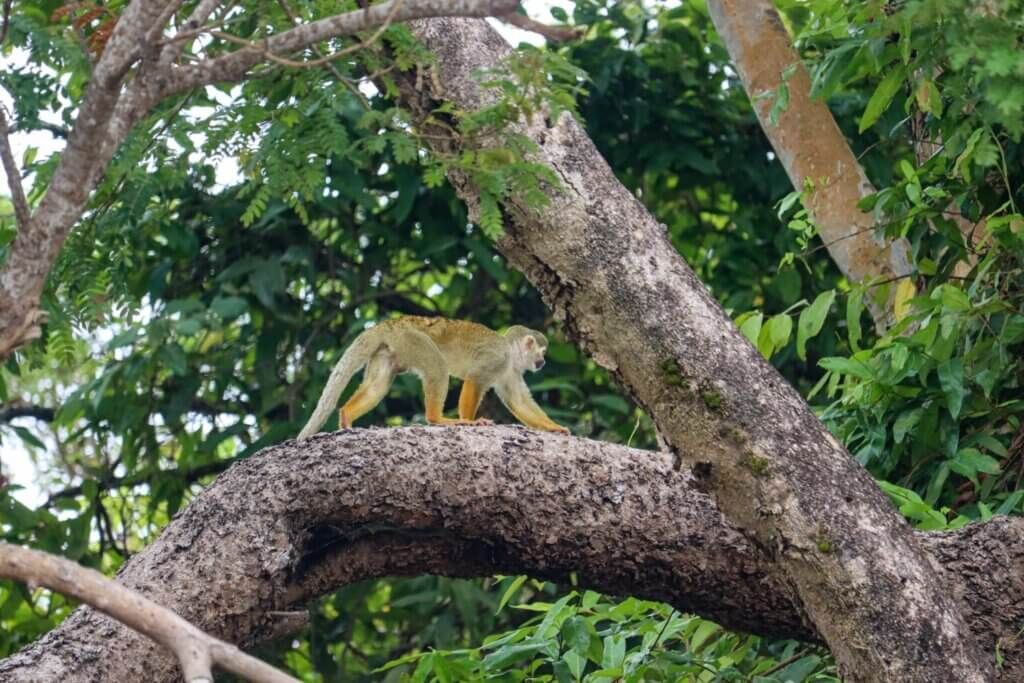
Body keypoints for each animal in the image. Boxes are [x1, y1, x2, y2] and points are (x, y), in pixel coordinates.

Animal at [297, 316, 569, 439]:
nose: (543, 362)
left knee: (378, 385)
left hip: (392, 349)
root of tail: (389, 323)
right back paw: (438, 419)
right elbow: (474, 380)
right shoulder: (497, 360)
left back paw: (346, 415)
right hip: (413, 339)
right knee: (438, 367)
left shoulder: (510, 371)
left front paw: (553, 427)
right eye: (542, 353)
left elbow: (519, 402)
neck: (511, 355)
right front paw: (470, 421)